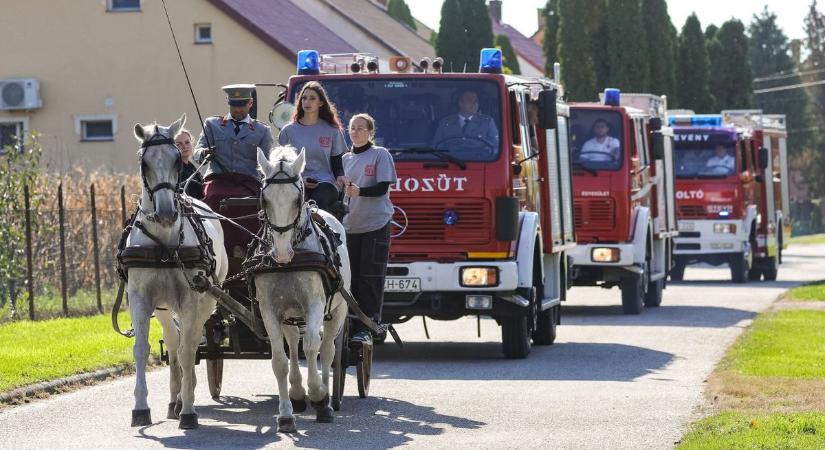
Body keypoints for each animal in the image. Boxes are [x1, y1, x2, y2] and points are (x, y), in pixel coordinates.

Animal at [124, 113, 225, 428]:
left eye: (176, 161)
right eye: (144, 162)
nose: (167, 213)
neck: (165, 244)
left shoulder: (190, 300)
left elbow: (187, 351)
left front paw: (189, 412)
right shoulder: (141, 299)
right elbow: (142, 350)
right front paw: (140, 408)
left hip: (206, 302)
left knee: (188, 345)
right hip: (165, 309)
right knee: (173, 342)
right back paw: (174, 400)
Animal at [254, 144, 350, 432]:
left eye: (297, 199)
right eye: (264, 200)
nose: (282, 254)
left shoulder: (315, 305)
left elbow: (312, 347)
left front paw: (318, 395)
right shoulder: (269, 310)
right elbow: (280, 360)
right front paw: (286, 414)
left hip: (338, 310)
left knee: (327, 349)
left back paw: (327, 399)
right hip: (290, 314)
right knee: (293, 345)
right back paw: (297, 394)